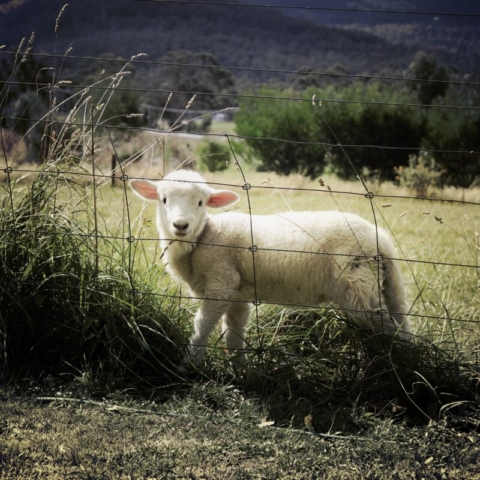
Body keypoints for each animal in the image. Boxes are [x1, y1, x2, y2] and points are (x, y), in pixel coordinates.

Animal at [130, 171, 412, 370]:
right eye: (163, 200)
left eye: (201, 203)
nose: (180, 225)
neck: (202, 239)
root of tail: (380, 240)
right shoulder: (238, 295)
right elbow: (233, 333)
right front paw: (240, 372)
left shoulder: (222, 283)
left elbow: (202, 326)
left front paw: (188, 366)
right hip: (383, 285)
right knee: (401, 322)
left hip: (357, 289)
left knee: (389, 328)